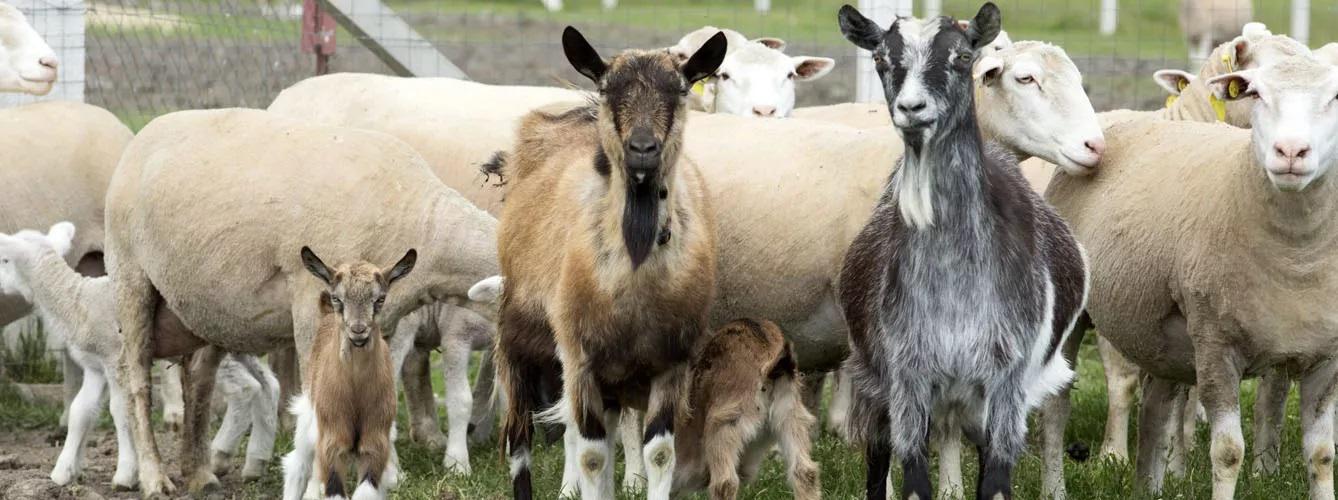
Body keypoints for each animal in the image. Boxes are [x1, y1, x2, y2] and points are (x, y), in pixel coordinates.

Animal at [0, 222, 279, 489]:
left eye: (4, 259)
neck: (79, 300)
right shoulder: (96, 367)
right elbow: (81, 411)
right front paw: (64, 472)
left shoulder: (115, 360)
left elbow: (120, 409)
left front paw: (126, 475)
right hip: (240, 349)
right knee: (269, 385)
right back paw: (255, 462)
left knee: (245, 388)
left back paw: (221, 455)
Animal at [282, 246, 416, 500]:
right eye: (338, 298)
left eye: (380, 298)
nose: (358, 330)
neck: (355, 393)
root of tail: (324, 315)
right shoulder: (332, 442)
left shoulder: (376, 441)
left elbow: (367, 491)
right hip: (308, 418)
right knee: (297, 465)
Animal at [491, 27, 726, 500]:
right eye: (607, 88)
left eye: (679, 90)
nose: (642, 149)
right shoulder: (580, 361)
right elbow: (592, 454)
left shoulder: (671, 364)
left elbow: (659, 453)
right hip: (517, 339)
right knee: (520, 441)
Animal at [837, 4, 1088, 499]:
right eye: (880, 59)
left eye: (962, 57)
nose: (912, 108)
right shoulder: (906, 375)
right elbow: (910, 473)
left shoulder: (1006, 381)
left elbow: (995, 477)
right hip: (877, 382)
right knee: (879, 457)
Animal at [1045, 54, 1338, 498]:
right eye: (1256, 93)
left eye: (1335, 97)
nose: (1290, 151)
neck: (1296, 257)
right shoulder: (1216, 342)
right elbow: (1228, 451)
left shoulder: (1326, 355)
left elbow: (1321, 454)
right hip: (1073, 311)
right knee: (1056, 402)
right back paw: (1055, 488)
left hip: (1160, 335)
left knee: (1155, 404)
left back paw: (1148, 489)